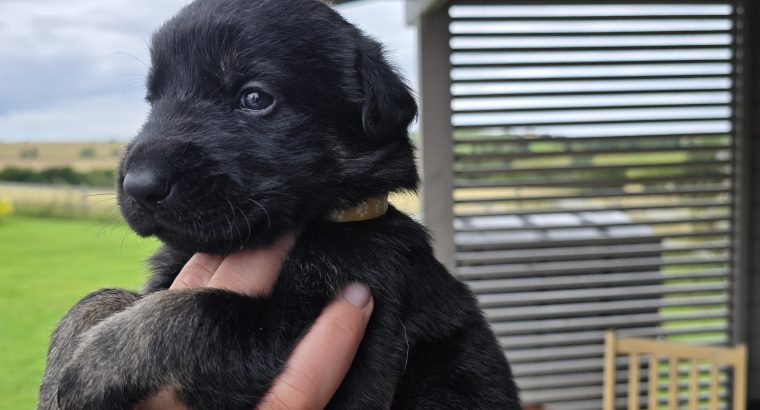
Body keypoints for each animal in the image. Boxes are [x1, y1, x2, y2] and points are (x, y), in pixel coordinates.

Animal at [38, 0, 520, 408]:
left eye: (255, 97)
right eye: (154, 100)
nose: (139, 186)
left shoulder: (313, 323)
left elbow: (196, 312)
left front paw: (95, 365)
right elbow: (101, 298)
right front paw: (60, 366)